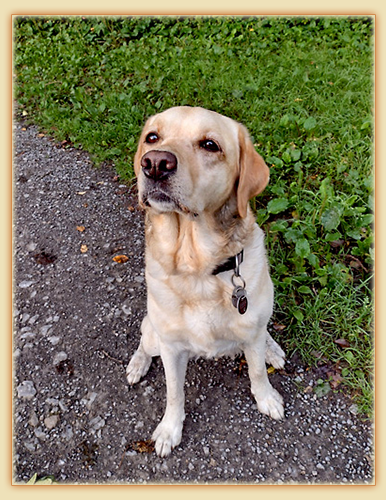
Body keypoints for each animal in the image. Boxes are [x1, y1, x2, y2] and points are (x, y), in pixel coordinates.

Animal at [125, 106, 284, 458]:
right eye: (152, 137)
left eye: (210, 145)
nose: (155, 163)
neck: (196, 269)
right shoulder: (171, 348)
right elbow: (174, 392)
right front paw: (170, 429)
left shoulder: (251, 331)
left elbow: (256, 371)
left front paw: (266, 398)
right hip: (154, 333)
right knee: (144, 340)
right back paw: (137, 364)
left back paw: (272, 349)